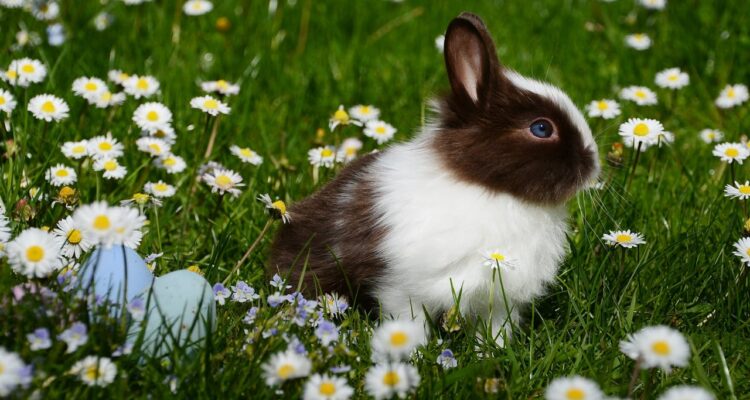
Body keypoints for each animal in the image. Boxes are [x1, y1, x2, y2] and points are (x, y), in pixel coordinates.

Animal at [269, 12, 599, 345]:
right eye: (542, 128)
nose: (593, 164)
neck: (489, 189)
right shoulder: (402, 289)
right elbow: (408, 323)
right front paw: (411, 351)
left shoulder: (498, 300)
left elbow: (495, 329)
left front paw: (492, 350)